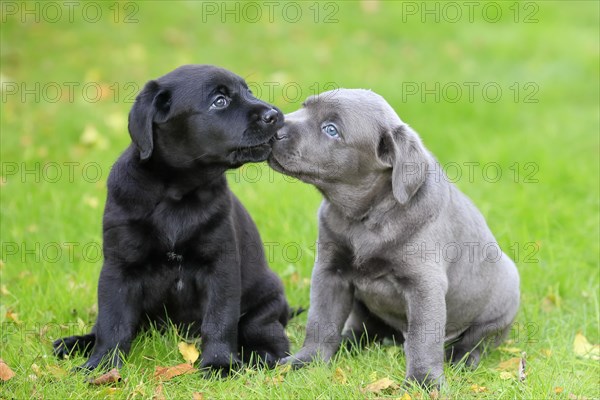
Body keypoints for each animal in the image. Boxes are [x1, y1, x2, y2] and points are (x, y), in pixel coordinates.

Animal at [52, 64, 292, 374]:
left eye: (248, 91)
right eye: (219, 101)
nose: (274, 114)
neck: (176, 196)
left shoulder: (220, 266)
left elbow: (219, 320)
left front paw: (219, 364)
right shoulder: (119, 267)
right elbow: (112, 323)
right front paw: (102, 365)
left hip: (266, 301)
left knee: (266, 332)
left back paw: (264, 355)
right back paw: (75, 343)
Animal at [268, 89, 520, 386]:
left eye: (331, 129)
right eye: (304, 106)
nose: (273, 127)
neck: (364, 218)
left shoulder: (425, 284)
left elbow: (423, 337)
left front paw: (424, 381)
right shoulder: (330, 272)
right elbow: (321, 320)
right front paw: (307, 361)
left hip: (500, 305)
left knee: (476, 341)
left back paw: (462, 358)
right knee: (364, 329)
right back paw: (348, 343)